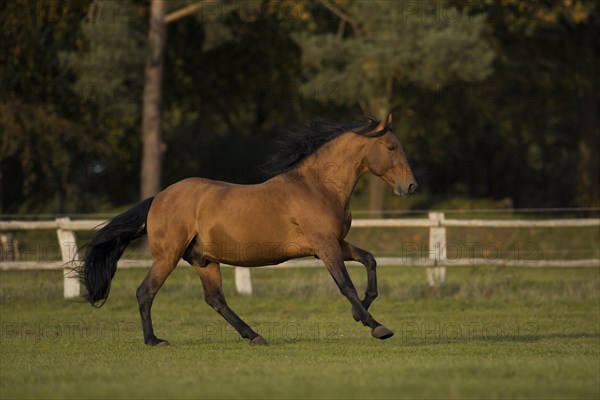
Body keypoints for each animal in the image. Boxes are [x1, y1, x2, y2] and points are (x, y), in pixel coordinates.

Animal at [78, 114, 418, 346]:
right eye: (391, 146)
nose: (411, 186)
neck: (318, 186)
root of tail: (158, 198)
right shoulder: (325, 246)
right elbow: (346, 285)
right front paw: (376, 325)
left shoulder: (336, 243)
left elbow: (370, 260)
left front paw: (362, 311)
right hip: (168, 256)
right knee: (145, 292)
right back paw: (154, 340)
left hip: (204, 260)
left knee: (216, 300)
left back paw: (254, 336)